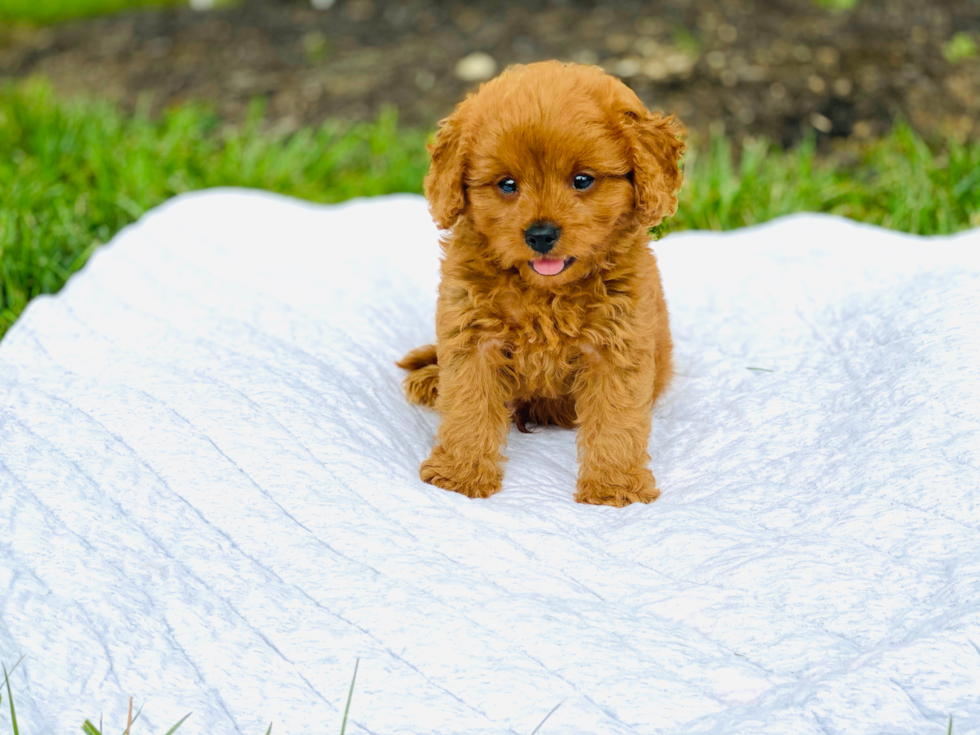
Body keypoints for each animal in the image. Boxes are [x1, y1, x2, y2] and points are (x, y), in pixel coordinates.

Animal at [396, 60, 680, 508]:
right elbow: (469, 405)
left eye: (582, 180)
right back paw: (431, 378)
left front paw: (614, 487)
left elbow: (616, 419)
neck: (546, 295)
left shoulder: (618, 344)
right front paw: (461, 474)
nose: (541, 235)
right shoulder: (472, 336)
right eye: (507, 184)